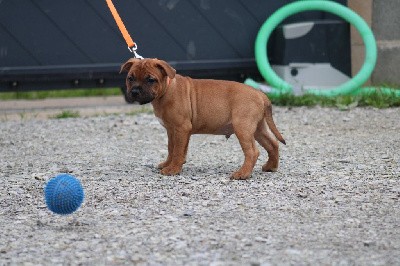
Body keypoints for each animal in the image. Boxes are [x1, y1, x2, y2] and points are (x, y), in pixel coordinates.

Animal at [120, 57, 286, 179]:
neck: (166, 90)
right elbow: (172, 148)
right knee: (273, 144)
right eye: (130, 78)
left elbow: (178, 150)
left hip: (243, 128)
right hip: (258, 129)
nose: (134, 92)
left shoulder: (181, 128)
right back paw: (270, 166)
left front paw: (173, 169)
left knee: (252, 151)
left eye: (150, 79)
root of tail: (260, 94)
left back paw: (243, 174)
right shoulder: (172, 130)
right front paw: (169, 164)